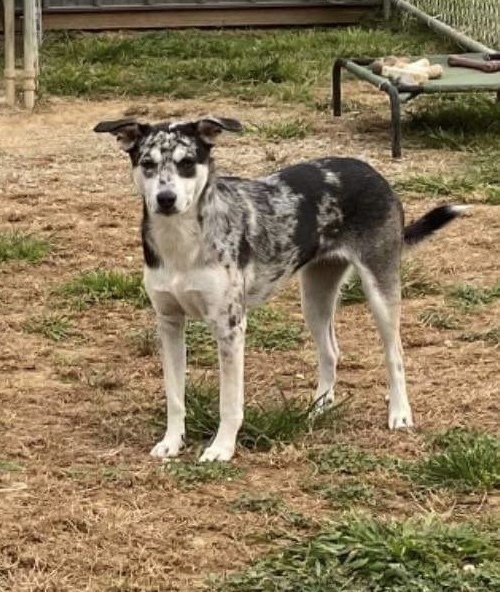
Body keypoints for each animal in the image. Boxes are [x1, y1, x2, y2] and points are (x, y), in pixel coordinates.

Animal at [94, 113, 464, 460]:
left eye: (187, 163)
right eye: (147, 163)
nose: (165, 198)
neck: (182, 243)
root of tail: (372, 171)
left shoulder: (230, 327)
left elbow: (230, 402)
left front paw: (222, 448)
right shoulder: (169, 322)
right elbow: (174, 395)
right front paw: (172, 442)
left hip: (380, 288)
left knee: (394, 354)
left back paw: (399, 413)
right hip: (314, 296)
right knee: (330, 351)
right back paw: (319, 408)